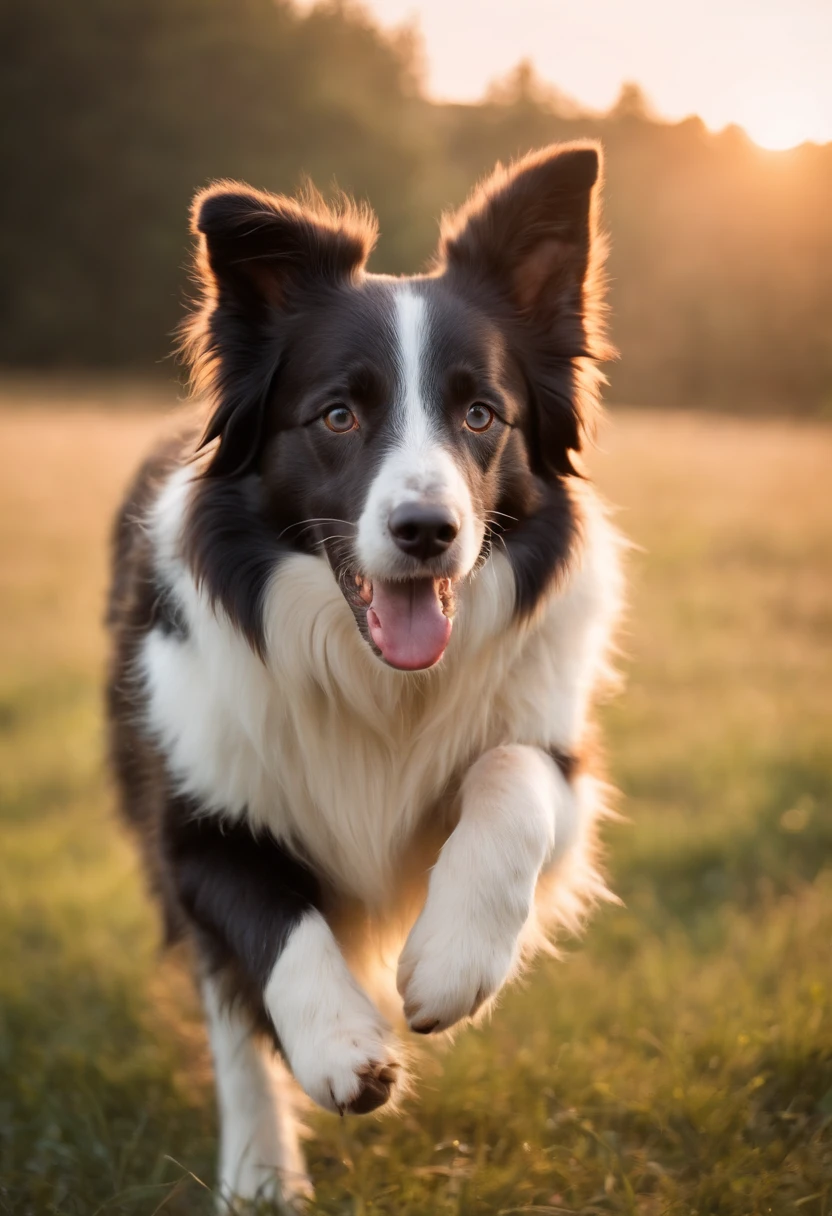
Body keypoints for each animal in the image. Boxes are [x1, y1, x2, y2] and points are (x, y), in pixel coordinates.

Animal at [105, 139, 622, 1206]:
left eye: (482, 414)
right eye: (338, 415)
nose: (428, 532)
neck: (371, 675)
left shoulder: (560, 756)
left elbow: (513, 779)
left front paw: (455, 961)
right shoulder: (191, 820)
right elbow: (274, 927)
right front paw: (341, 1046)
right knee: (233, 1029)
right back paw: (259, 1172)